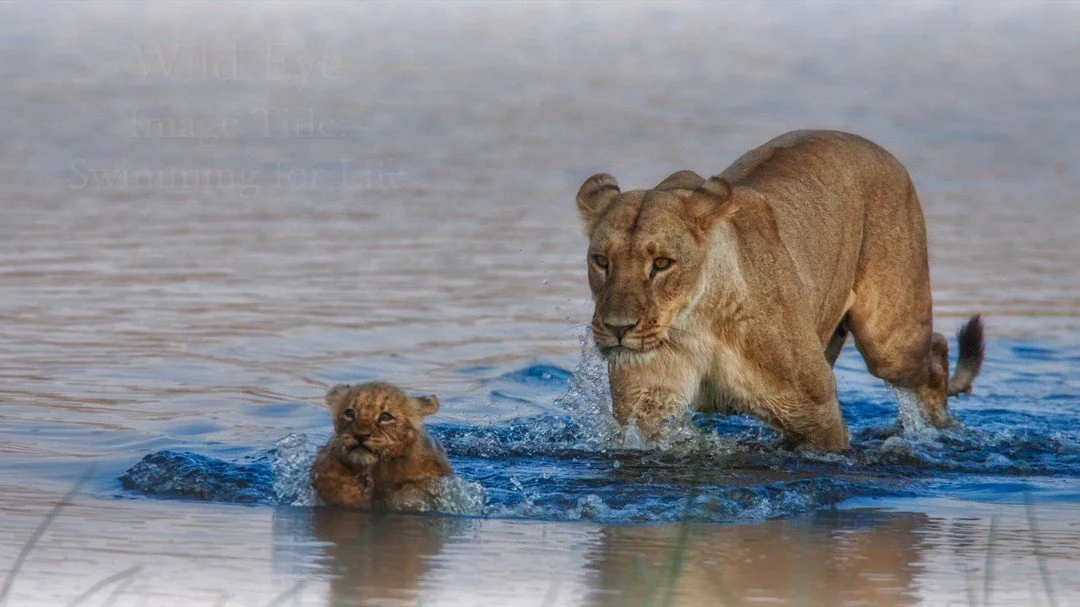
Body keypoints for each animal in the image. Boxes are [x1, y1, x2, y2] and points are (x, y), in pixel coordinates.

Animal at [576, 130, 985, 451]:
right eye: (601, 260)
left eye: (662, 263)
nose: (617, 328)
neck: (696, 324)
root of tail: (879, 150)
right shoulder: (648, 410)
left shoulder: (816, 410)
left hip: (889, 343)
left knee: (936, 350)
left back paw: (941, 429)